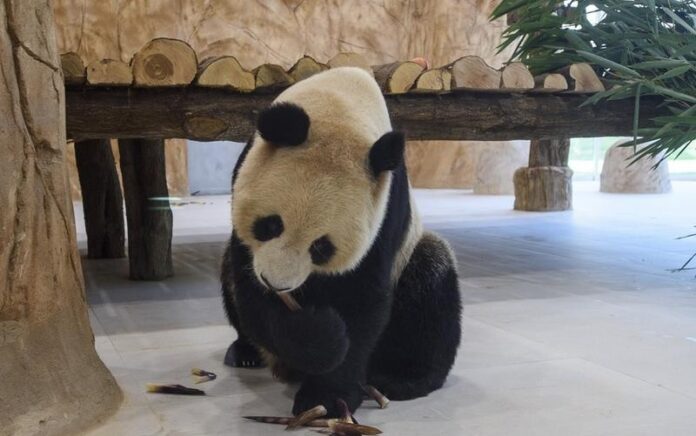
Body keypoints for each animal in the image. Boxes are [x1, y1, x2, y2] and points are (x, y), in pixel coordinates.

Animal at [223, 66, 462, 418]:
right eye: (271, 225)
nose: (277, 283)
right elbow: (253, 297)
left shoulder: (384, 209)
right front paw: (320, 337)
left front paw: (327, 398)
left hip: (413, 258)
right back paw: (246, 353)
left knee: (430, 282)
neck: (340, 102)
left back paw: (401, 379)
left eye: (322, 247)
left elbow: (362, 297)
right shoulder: (244, 180)